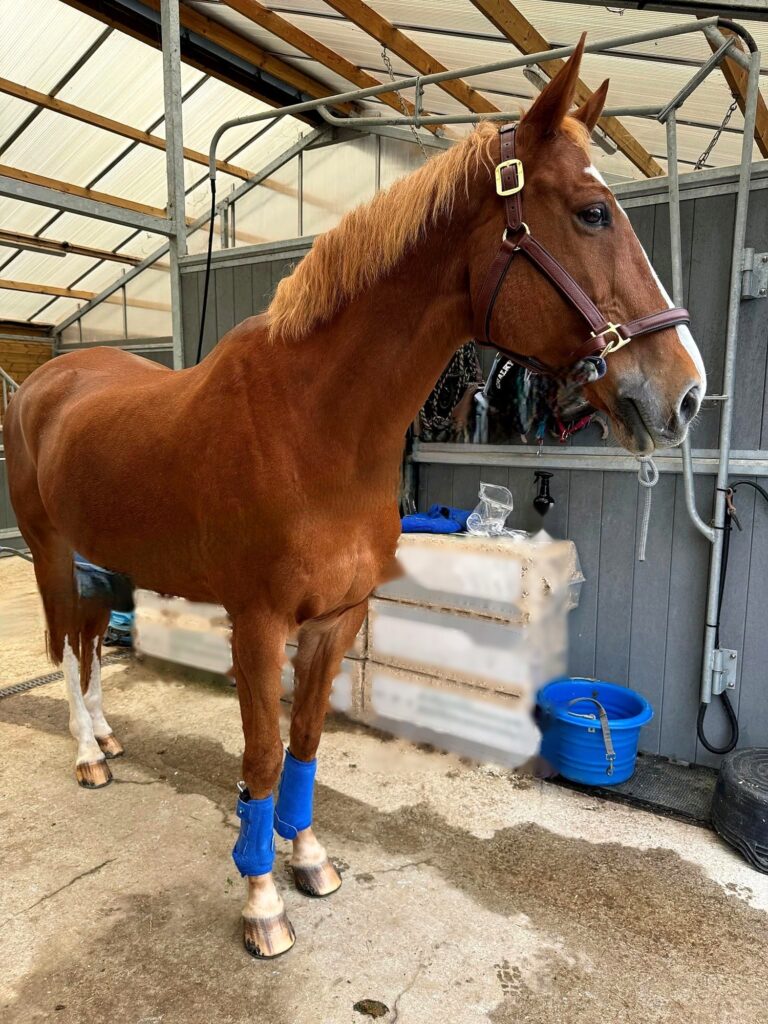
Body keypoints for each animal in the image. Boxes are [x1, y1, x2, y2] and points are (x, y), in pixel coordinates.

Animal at [4, 38, 705, 959]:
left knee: (88, 645)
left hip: (99, 555)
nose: (686, 393)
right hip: (49, 549)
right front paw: (261, 899)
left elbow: (305, 745)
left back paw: (108, 736)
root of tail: (45, 380)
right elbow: (263, 756)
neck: (314, 423)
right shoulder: (258, 624)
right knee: (62, 649)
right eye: (593, 213)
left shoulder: (338, 618)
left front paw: (307, 859)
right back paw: (88, 754)